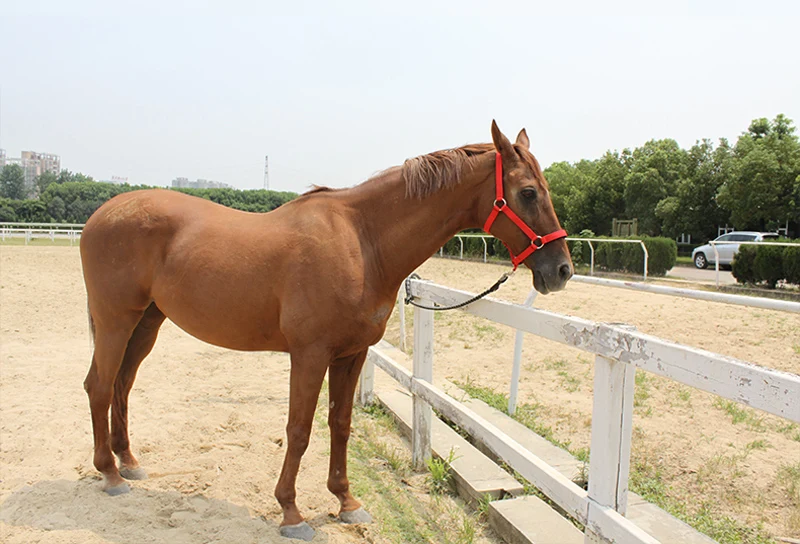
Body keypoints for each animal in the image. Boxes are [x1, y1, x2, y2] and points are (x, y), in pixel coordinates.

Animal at [79, 120, 573, 540]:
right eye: (528, 192)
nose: (562, 270)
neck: (362, 241)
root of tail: (102, 213)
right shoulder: (310, 354)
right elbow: (299, 428)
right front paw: (291, 512)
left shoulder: (351, 354)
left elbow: (340, 423)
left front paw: (346, 501)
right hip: (115, 321)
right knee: (100, 386)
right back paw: (110, 473)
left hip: (146, 323)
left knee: (122, 384)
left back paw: (129, 462)